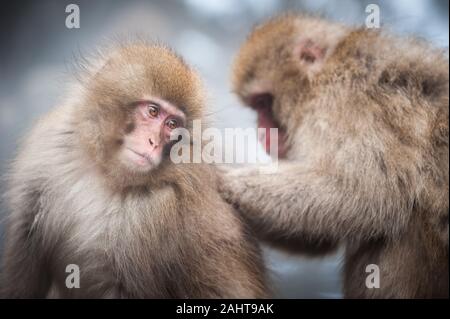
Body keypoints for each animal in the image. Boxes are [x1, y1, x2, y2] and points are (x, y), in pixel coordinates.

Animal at [0, 43, 268, 300]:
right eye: (152, 111)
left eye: (172, 125)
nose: (153, 142)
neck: (106, 175)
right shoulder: (44, 156)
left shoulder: (158, 210)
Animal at [220, 15, 448, 300]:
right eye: (256, 106)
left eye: (262, 102)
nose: (262, 131)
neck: (320, 78)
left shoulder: (343, 100)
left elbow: (367, 193)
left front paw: (227, 182)